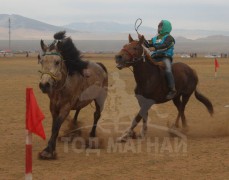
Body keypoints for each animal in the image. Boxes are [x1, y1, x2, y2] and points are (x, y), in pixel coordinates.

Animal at [37, 31, 108, 160]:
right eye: (42, 61)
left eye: (57, 62)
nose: (44, 85)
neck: (63, 86)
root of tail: (100, 66)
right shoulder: (53, 106)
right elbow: (54, 125)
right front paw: (51, 147)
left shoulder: (65, 107)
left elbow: (57, 125)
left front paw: (48, 151)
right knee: (79, 110)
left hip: (100, 99)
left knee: (97, 115)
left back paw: (91, 136)